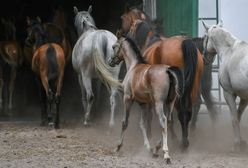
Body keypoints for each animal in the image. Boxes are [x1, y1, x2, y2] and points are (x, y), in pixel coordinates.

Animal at [120, 6, 203, 151]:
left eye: (124, 20)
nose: (123, 35)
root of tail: (185, 42)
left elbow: (152, 114)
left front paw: (150, 134)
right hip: (192, 87)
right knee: (188, 110)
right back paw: (185, 140)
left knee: (178, 113)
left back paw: (180, 141)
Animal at [202, 21, 248, 151]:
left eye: (205, 37)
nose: (204, 58)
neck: (229, 51)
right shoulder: (244, 97)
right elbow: (238, 116)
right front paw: (242, 141)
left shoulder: (228, 93)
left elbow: (234, 118)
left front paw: (236, 143)